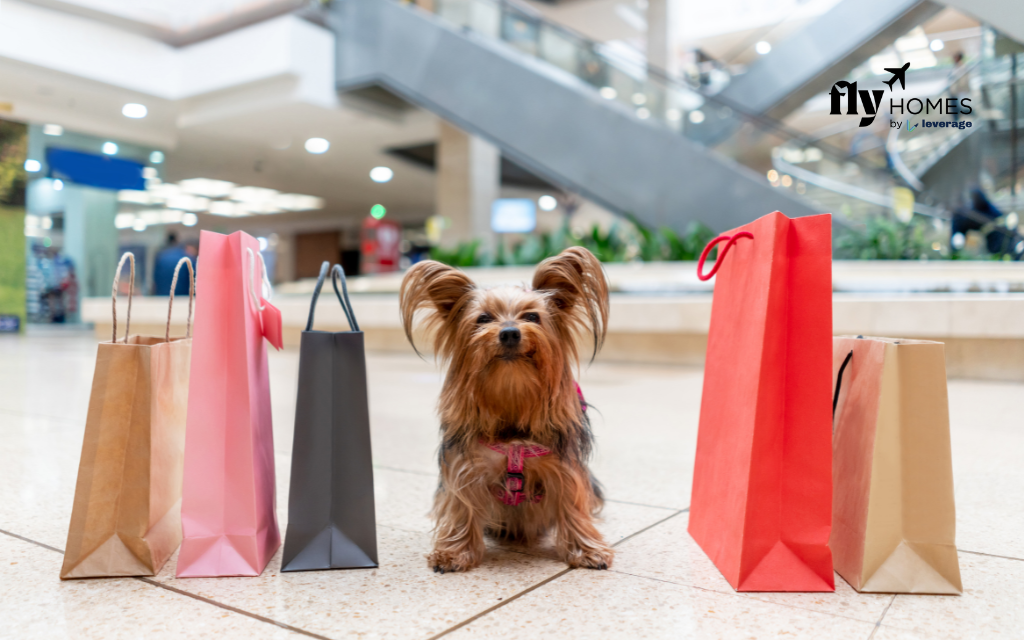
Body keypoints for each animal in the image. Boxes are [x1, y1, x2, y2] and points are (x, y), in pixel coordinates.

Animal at [399, 246, 610, 573]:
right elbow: (461, 506)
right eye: (483, 318)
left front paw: (586, 549)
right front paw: (454, 552)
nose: (510, 332)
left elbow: (572, 505)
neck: (511, 394)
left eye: (532, 316)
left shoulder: (564, 467)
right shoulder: (467, 467)